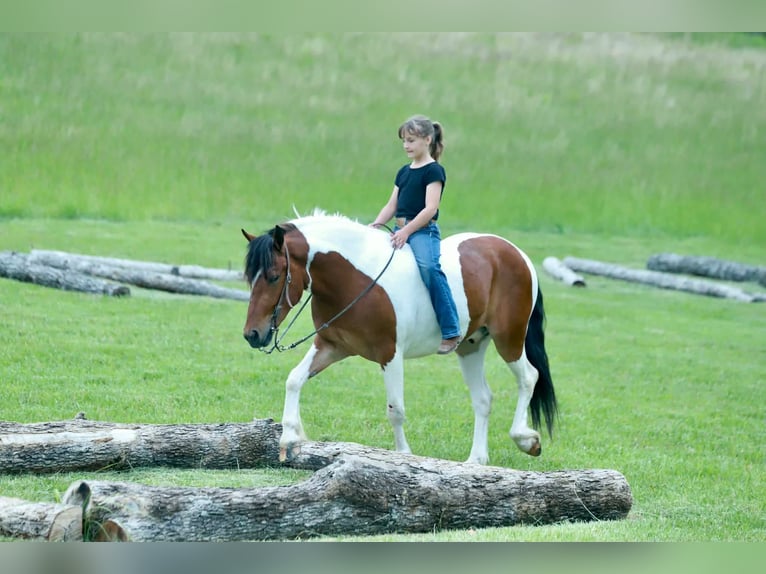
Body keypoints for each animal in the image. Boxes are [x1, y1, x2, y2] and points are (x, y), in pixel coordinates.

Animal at [241, 211, 557, 465]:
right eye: (249, 277)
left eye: (273, 276)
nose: (252, 335)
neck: (357, 279)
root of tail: (516, 254)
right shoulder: (331, 347)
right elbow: (294, 379)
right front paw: (289, 440)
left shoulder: (390, 354)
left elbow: (396, 409)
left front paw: (403, 455)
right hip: (471, 346)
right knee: (483, 398)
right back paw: (476, 460)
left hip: (509, 338)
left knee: (529, 377)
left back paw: (527, 440)